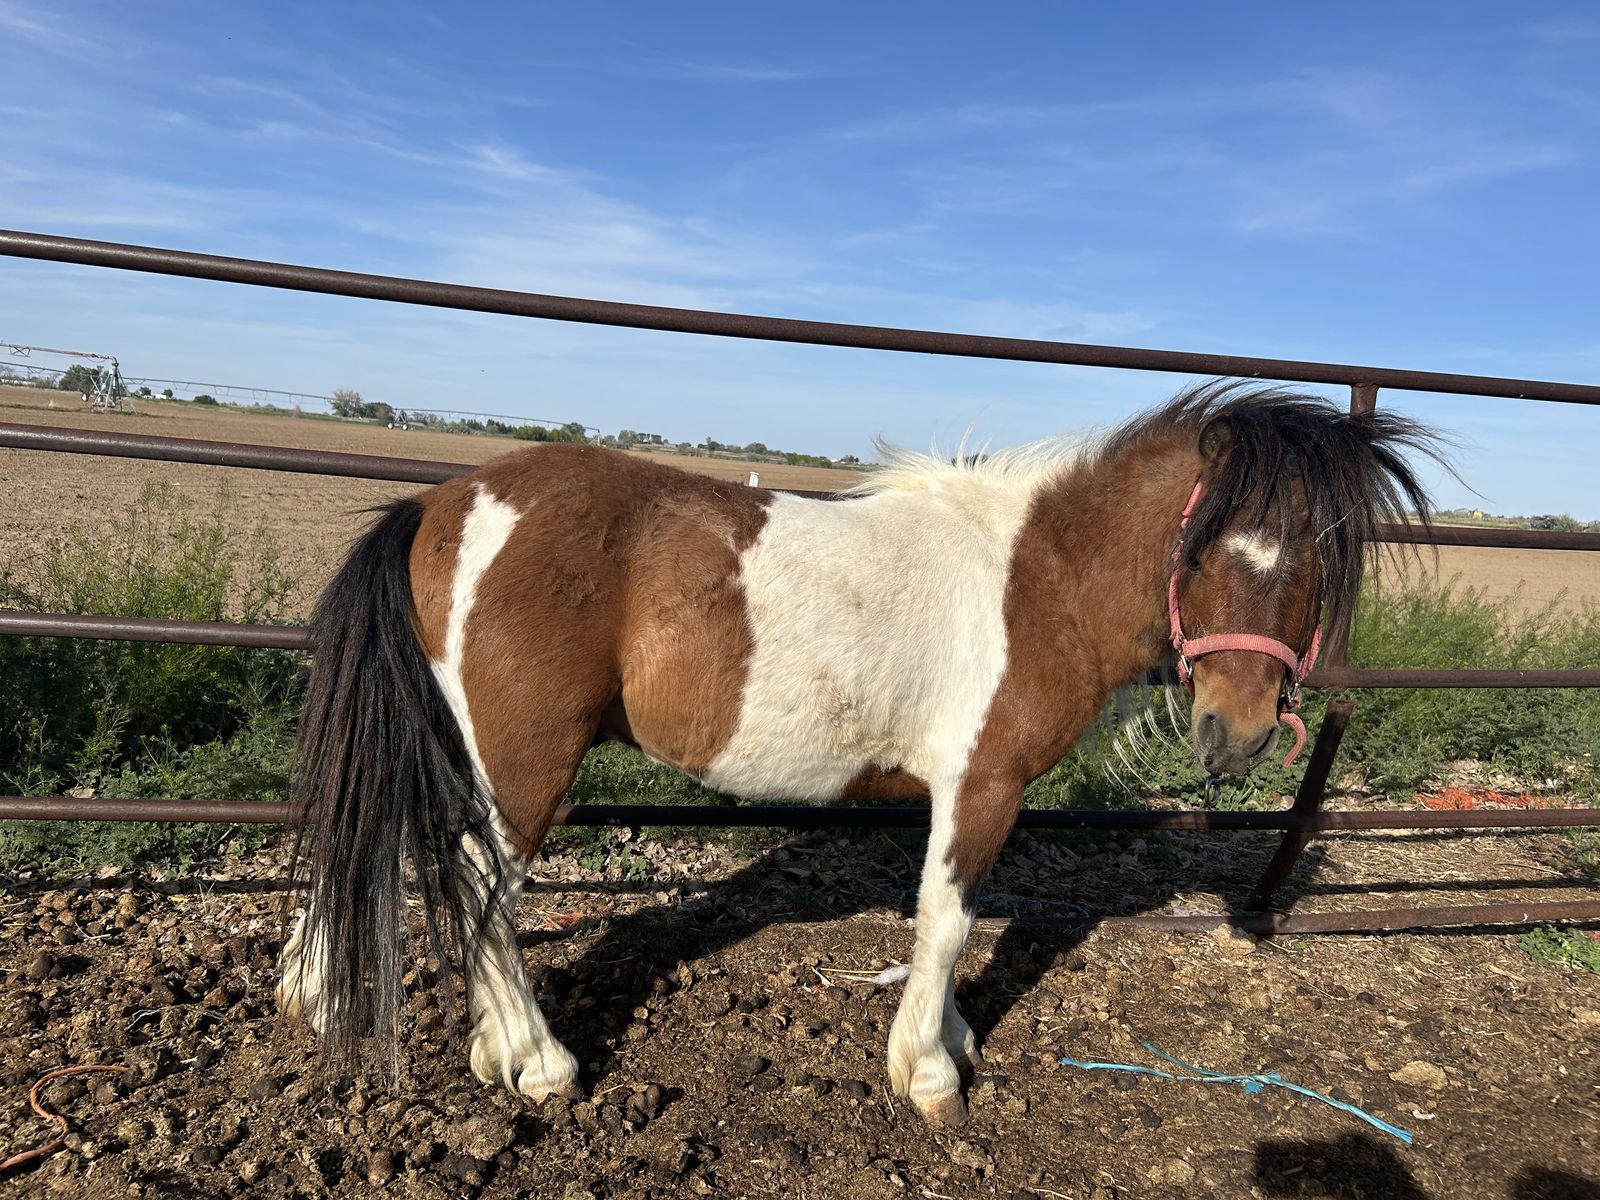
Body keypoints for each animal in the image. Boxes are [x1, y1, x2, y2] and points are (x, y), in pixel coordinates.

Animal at [278, 381, 1437, 1127]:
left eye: (1322, 557)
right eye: (1211, 547)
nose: (1236, 732)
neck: (1040, 578)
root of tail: (437, 502)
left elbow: (957, 923)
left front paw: (954, 1039)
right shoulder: (981, 785)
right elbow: (947, 920)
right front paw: (927, 1073)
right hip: (525, 769)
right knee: (481, 890)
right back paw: (537, 1062)